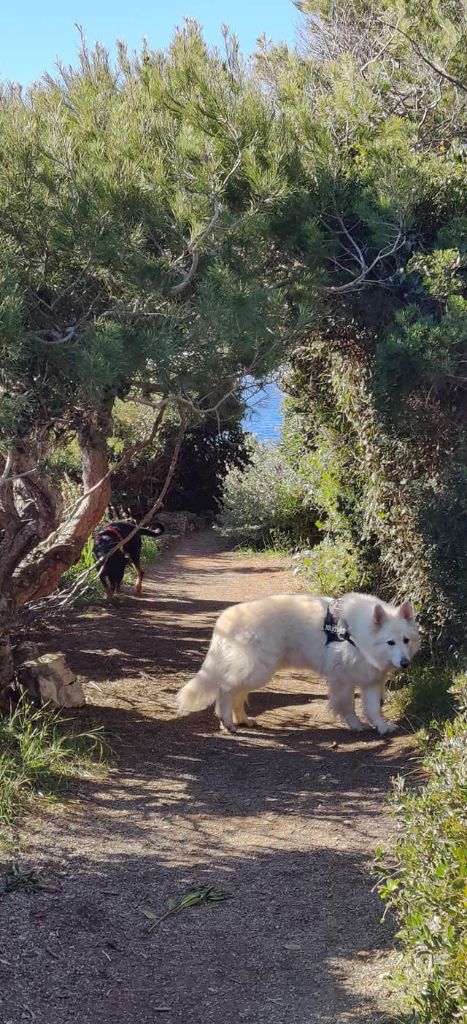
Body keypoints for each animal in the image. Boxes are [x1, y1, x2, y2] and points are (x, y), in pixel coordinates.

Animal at [176, 592, 420, 735]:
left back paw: (243, 720)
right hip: (257, 671)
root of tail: (225, 618)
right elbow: (348, 706)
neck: (358, 636)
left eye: (406, 640)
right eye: (390, 642)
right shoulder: (342, 680)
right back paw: (227, 721)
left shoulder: (370, 681)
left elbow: (373, 709)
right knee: (225, 689)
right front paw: (355, 724)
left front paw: (382, 726)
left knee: (236, 694)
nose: (405, 663)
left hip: (256, 672)